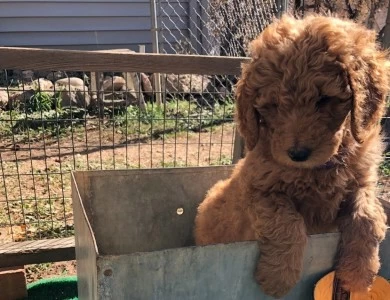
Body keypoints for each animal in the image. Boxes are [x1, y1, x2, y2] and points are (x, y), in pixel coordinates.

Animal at [193, 13, 388, 298]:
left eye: (324, 99)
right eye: (272, 105)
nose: (297, 153)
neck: (317, 170)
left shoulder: (363, 181)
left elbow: (367, 217)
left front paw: (359, 275)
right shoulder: (259, 189)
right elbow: (286, 221)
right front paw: (279, 278)